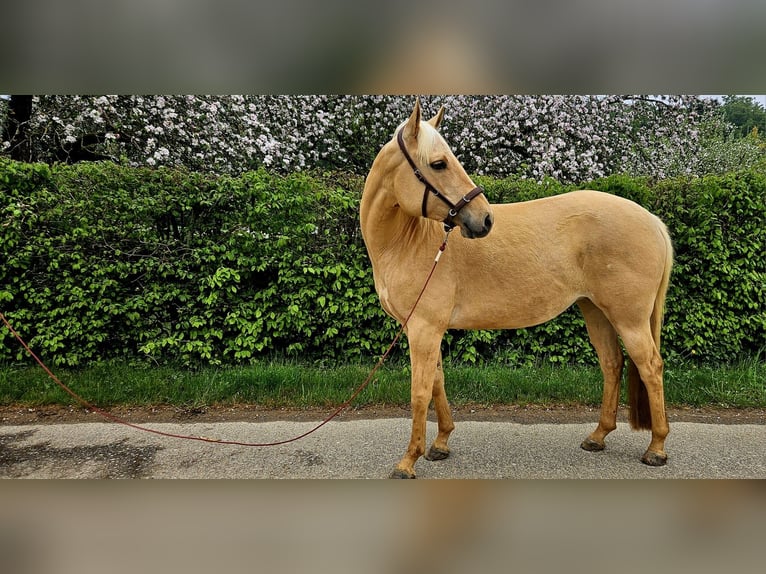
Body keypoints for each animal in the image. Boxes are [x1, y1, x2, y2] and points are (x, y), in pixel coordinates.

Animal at [360, 98, 673, 478]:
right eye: (438, 163)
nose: (484, 220)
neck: (407, 242)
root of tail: (652, 220)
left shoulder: (424, 328)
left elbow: (419, 392)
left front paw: (408, 461)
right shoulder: (424, 329)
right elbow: (437, 383)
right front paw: (441, 444)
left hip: (629, 318)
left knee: (651, 367)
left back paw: (656, 448)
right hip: (595, 309)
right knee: (612, 363)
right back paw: (598, 436)